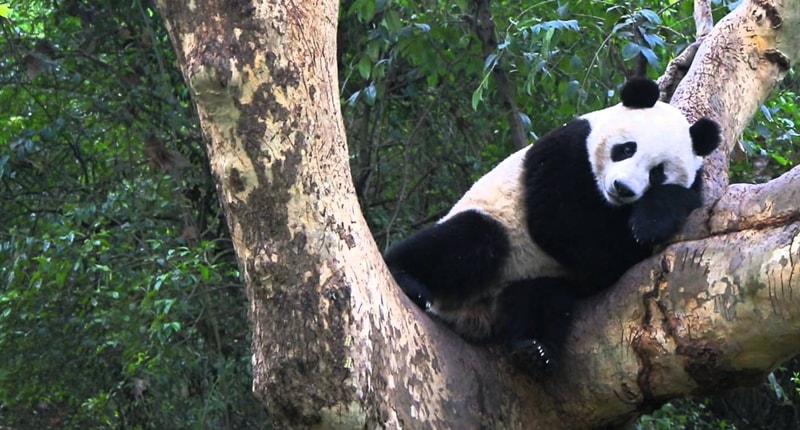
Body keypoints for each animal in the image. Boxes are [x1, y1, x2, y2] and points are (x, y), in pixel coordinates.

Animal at [383, 78, 721, 372]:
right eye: (626, 148)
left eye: (658, 172)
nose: (622, 188)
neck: (609, 204)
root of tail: (472, 314)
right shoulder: (567, 153)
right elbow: (559, 225)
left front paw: (649, 223)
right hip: (496, 224)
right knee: (471, 241)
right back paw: (406, 277)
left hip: (535, 275)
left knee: (541, 300)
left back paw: (534, 351)